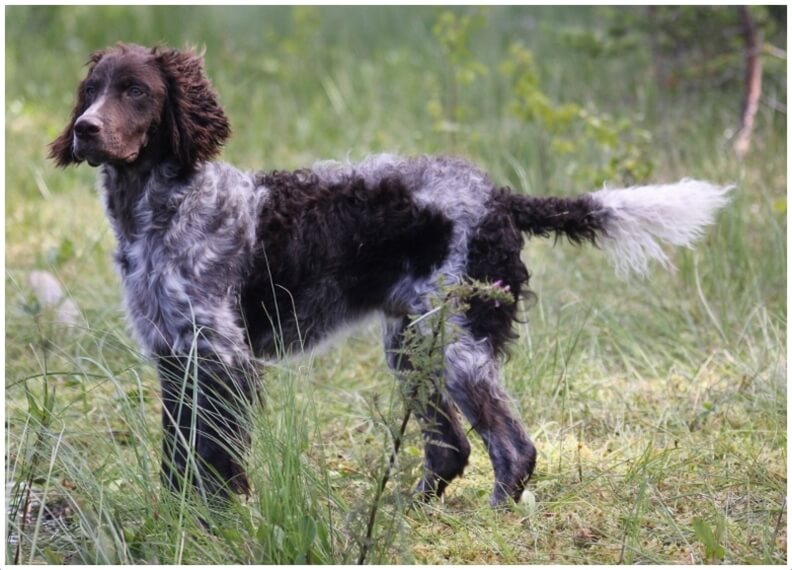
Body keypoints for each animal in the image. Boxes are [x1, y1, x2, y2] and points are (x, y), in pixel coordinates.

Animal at [48, 44, 732, 504]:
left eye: (137, 91)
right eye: (91, 90)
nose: (85, 130)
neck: (161, 210)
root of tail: (502, 197)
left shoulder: (222, 355)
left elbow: (215, 455)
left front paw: (219, 518)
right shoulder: (174, 353)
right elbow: (179, 454)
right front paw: (179, 518)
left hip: (456, 345)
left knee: (513, 449)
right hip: (411, 344)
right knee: (452, 448)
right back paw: (404, 511)